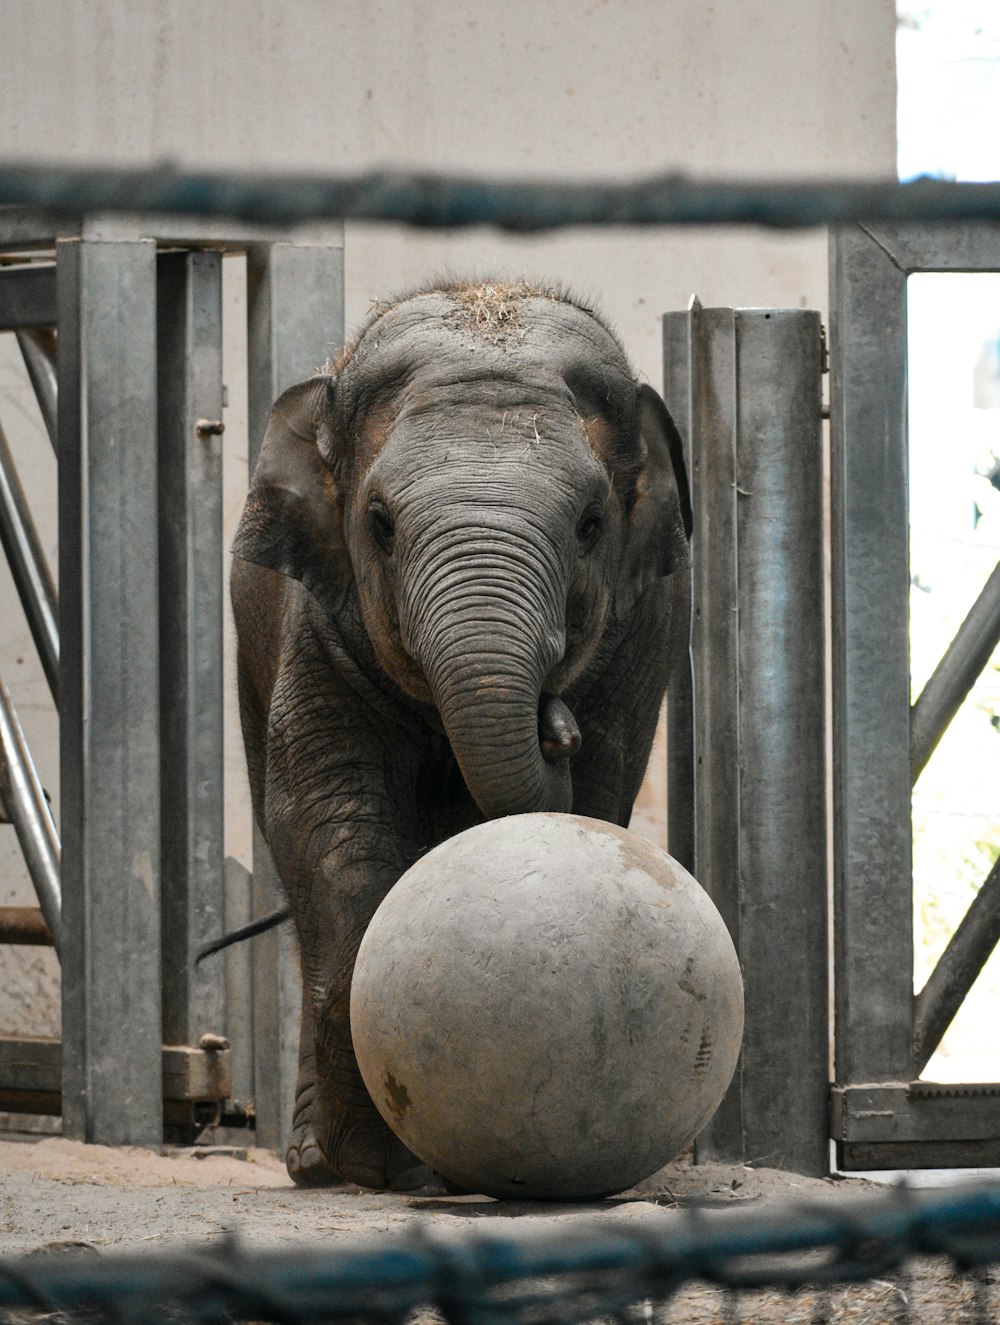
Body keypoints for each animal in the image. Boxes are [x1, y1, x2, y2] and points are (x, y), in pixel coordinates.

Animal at [230, 279, 694, 1192]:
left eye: (591, 523)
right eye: (378, 521)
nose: (555, 723)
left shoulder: (645, 634)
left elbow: (596, 798)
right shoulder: (316, 627)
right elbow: (327, 826)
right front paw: (370, 1165)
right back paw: (317, 1166)